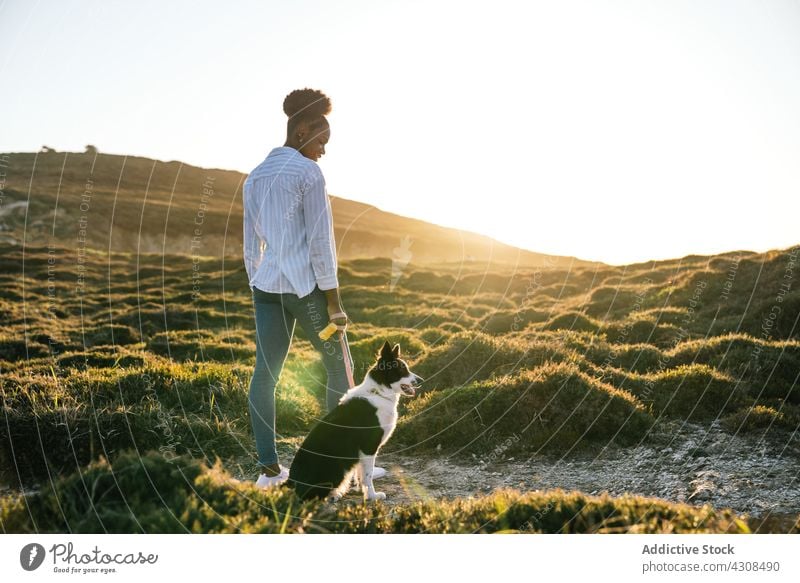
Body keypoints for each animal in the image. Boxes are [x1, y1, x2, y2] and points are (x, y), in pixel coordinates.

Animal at [290, 342, 424, 502]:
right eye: (402, 369)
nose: (421, 381)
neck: (378, 392)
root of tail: (290, 483)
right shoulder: (369, 447)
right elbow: (368, 476)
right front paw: (372, 496)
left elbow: (361, 474)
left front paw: (362, 491)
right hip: (337, 467)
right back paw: (332, 496)